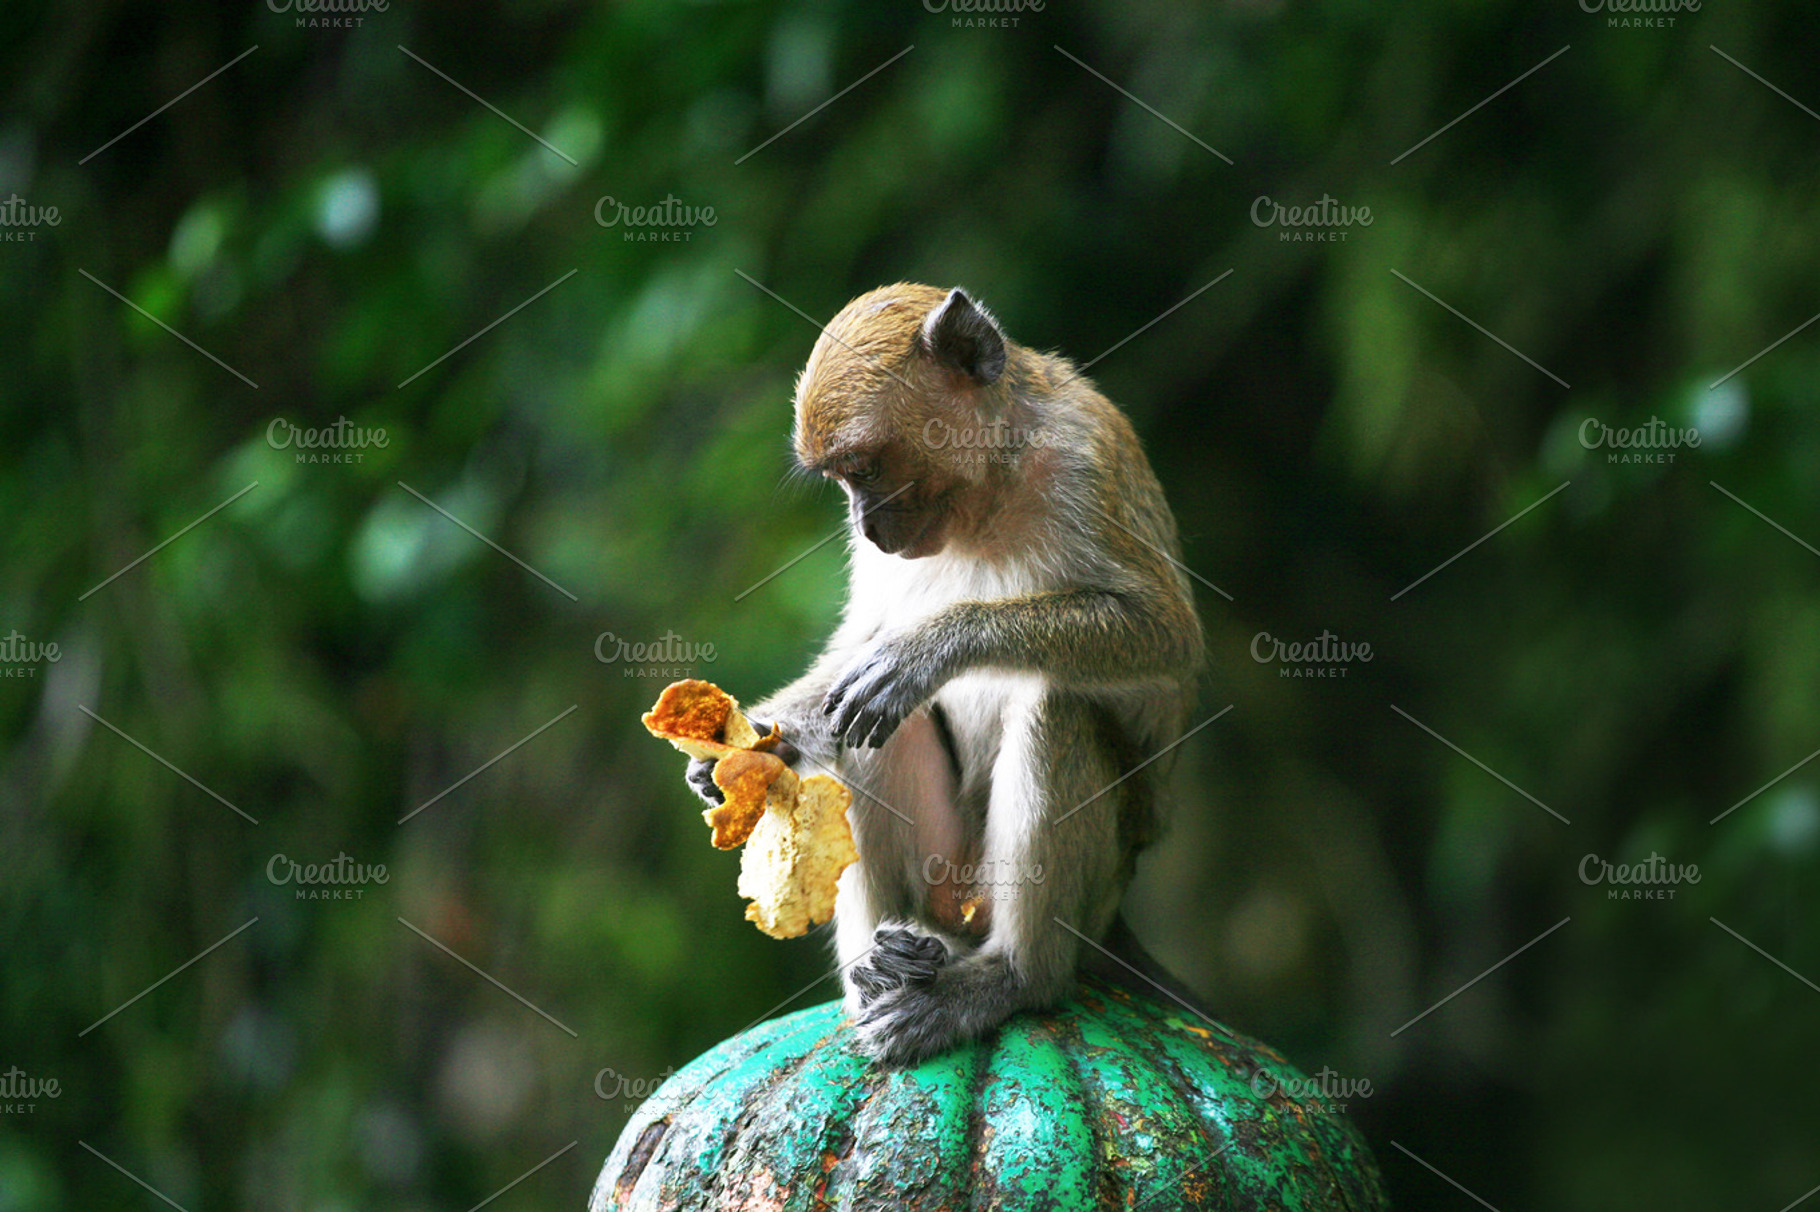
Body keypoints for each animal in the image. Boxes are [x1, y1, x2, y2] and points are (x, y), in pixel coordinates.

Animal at [688, 283, 1205, 1066]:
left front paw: (929, 649)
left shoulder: (1084, 461)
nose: (864, 525)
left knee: (1053, 702)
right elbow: (855, 649)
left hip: (1088, 882)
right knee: (866, 728)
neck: (991, 485)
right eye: (841, 481)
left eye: (865, 468)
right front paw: (754, 747)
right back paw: (881, 962)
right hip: (945, 875)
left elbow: (1167, 636)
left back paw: (1010, 979)